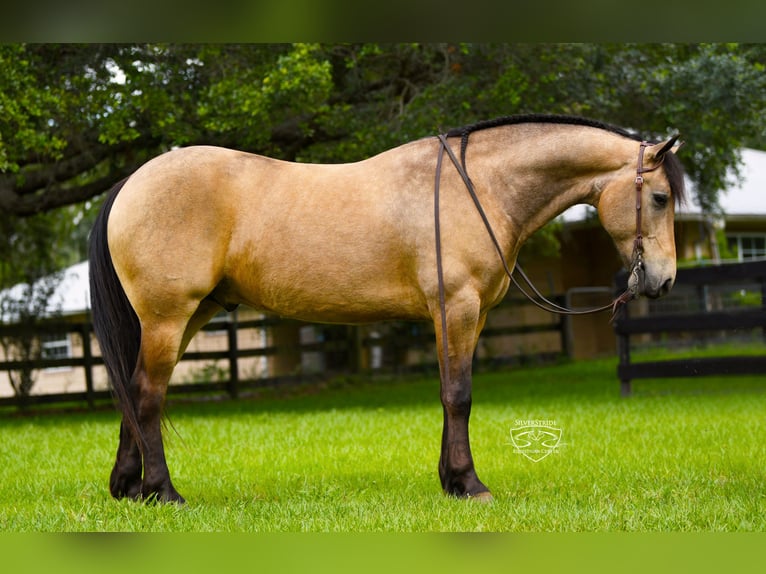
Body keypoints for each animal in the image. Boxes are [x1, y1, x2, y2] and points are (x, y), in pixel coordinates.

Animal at [89, 114, 685, 503]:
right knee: (146, 395)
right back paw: (162, 492)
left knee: (135, 392)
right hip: (168, 318)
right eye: (660, 198)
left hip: (187, 318)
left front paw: (450, 481)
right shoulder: (457, 309)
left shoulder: (464, 318)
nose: (663, 281)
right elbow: (459, 395)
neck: (483, 186)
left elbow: (450, 394)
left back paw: (128, 488)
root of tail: (131, 182)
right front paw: (470, 484)